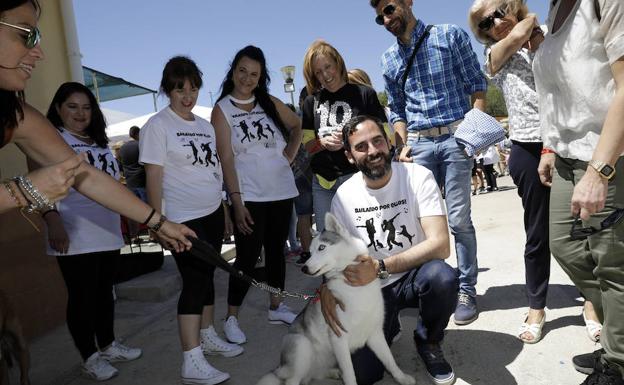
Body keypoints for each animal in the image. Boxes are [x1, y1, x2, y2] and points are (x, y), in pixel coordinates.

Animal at [256, 213, 416, 384]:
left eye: (321, 247)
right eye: (310, 252)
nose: (304, 268)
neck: (353, 287)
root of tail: (279, 368)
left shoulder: (375, 335)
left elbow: (390, 361)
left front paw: (402, 378)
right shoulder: (339, 340)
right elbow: (350, 373)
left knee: (317, 374)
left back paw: (333, 373)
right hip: (302, 345)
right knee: (293, 380)